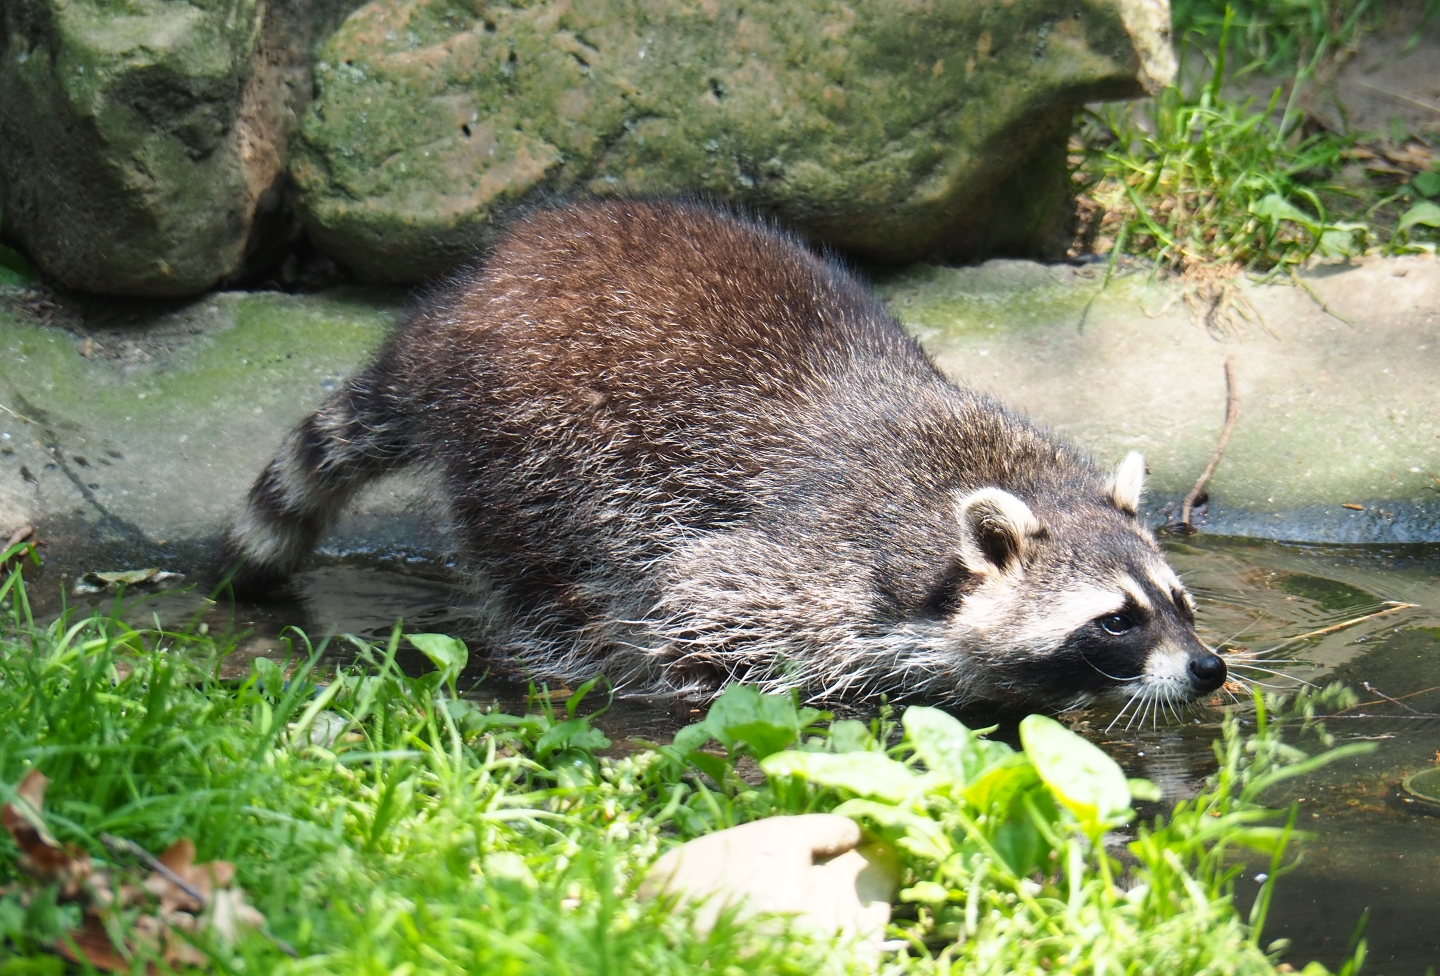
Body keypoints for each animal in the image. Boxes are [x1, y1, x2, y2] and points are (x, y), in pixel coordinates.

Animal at [223, 199, 1226, 709]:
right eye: (1117, 620)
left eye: (1180, 602)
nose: (1211, 668)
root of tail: (460, 304)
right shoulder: (793, 569)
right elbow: (698, 613)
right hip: (531, 447)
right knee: (548, 583)